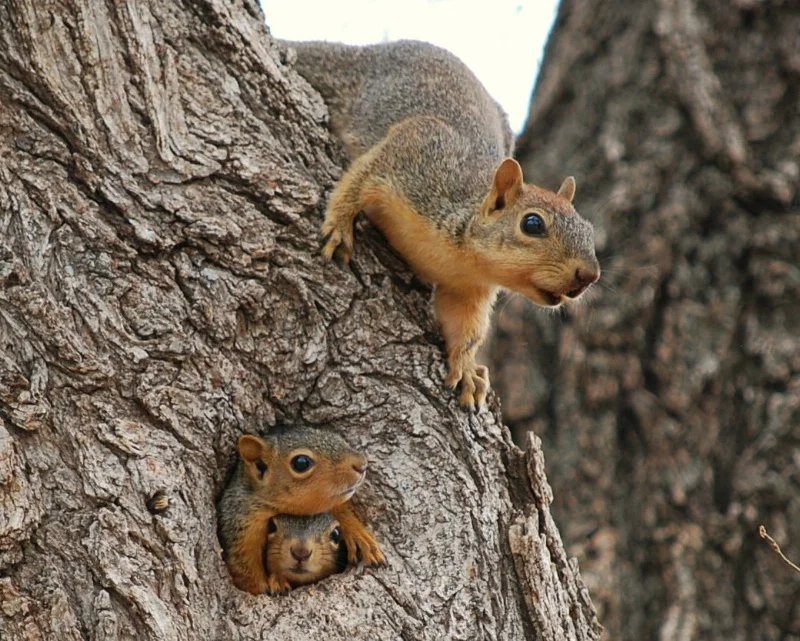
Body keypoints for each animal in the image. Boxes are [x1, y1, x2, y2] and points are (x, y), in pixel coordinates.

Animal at [216, 424, 384, 596]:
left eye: (339, 437)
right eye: (301, 462)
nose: (362, 465)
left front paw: (360, 536)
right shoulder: (242, 526)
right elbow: (246, 571)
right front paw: (272, 583)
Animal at [282, 41, 600, 410]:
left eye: (589, 230)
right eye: (532, 223)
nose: (588, 275)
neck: (462, 255)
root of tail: (370, 51)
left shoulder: (469, 290)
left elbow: (465, 327)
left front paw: (467, 369)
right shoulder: (416, 153)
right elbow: (362, 178)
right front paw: (340, 223)